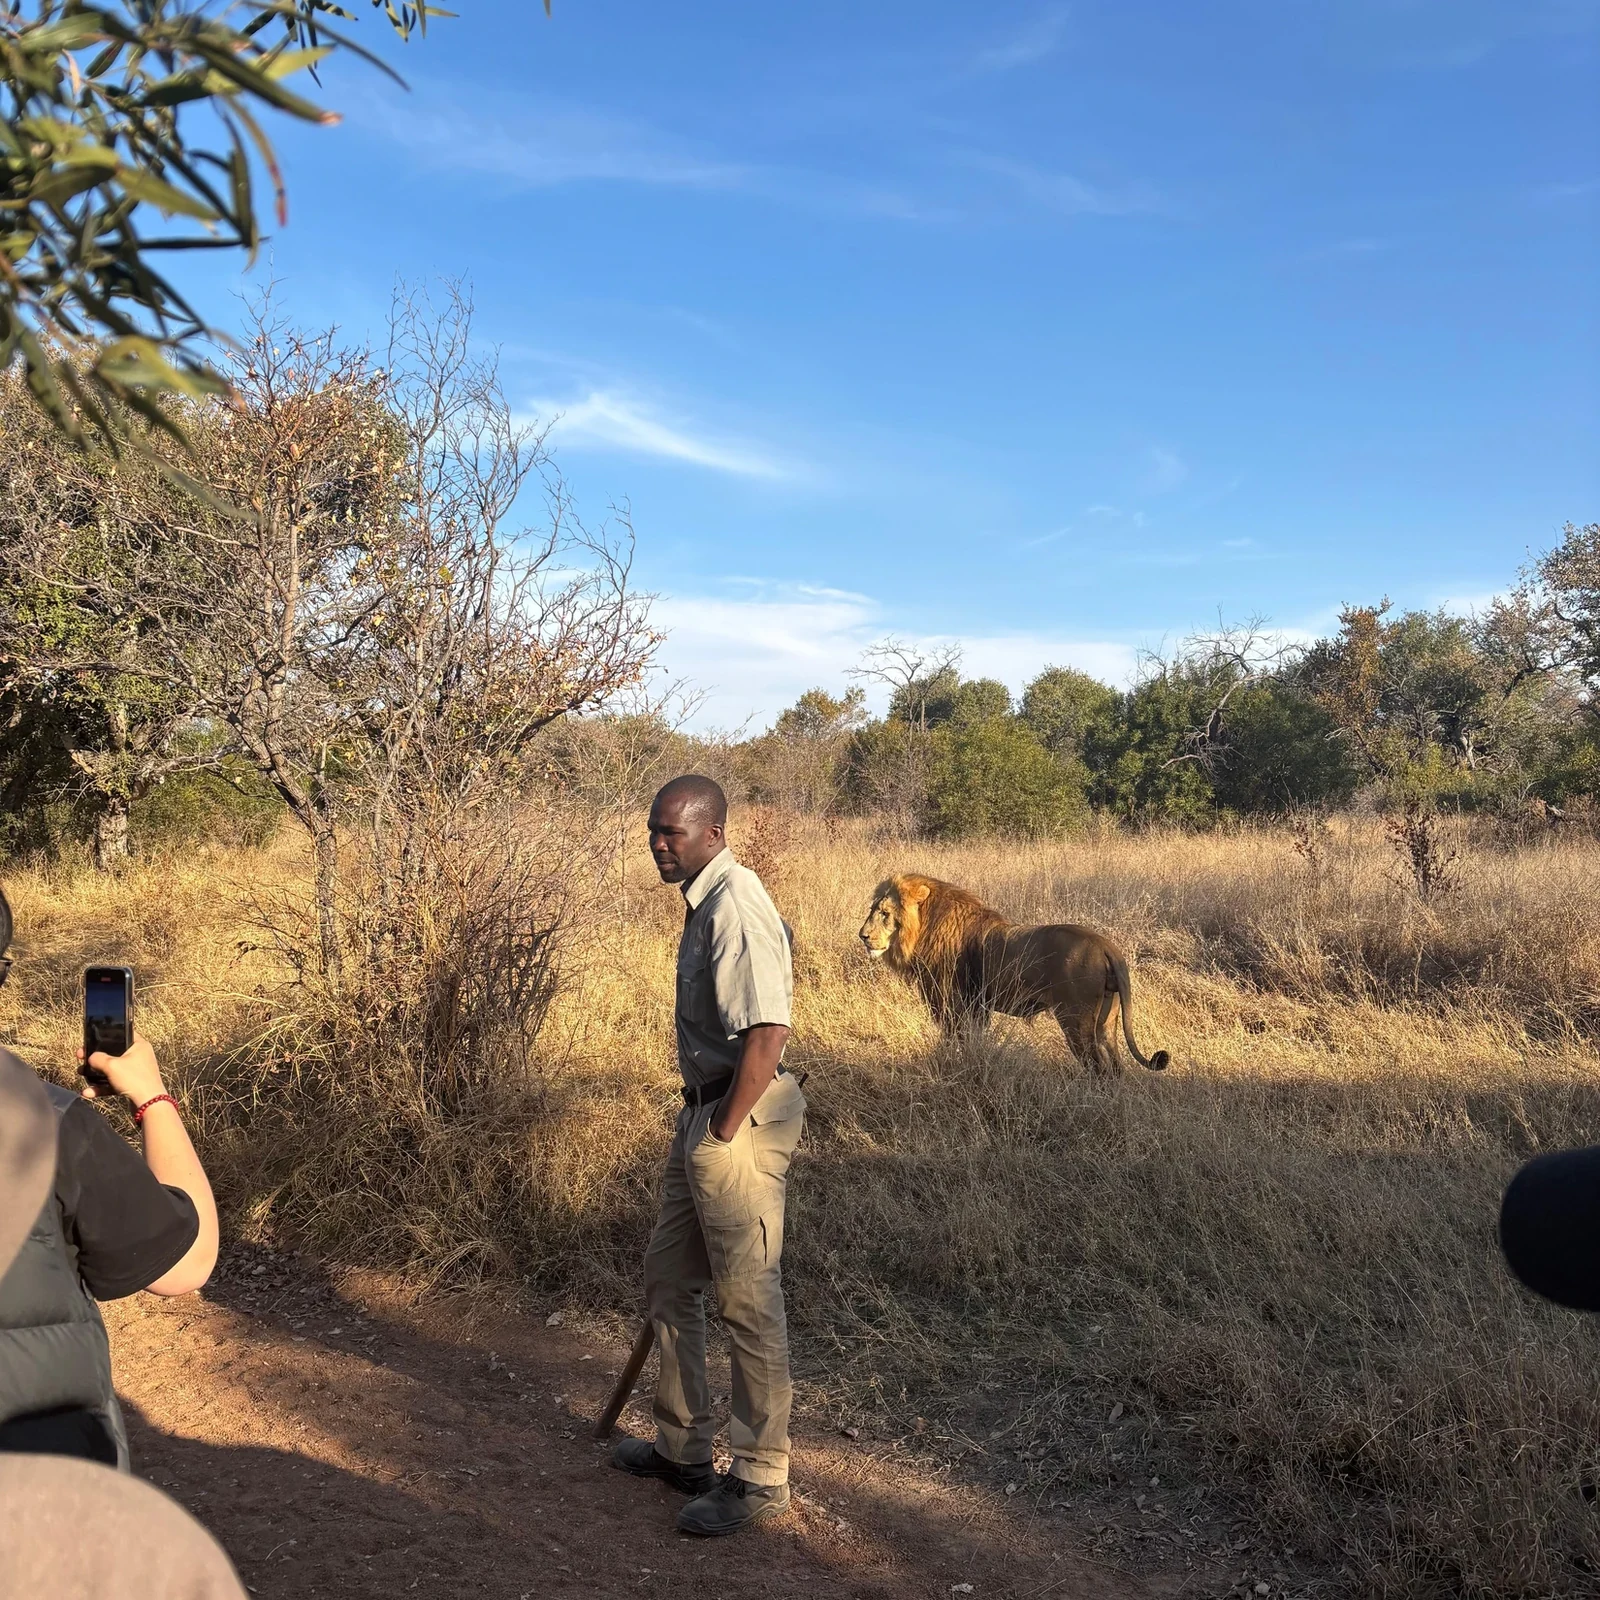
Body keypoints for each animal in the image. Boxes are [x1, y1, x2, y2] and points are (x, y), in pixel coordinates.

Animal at [858, 874, 1170, 1075]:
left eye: (884, 913)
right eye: (872, 909)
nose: (863, 936)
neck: (923, 929)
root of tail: (1106, 946)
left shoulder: (953, 1005)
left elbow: (955, 1042)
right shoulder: (976, 1008)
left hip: (1076, 1020)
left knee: (1099, 1068)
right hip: (1107, 1020)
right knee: (1116, 1067)